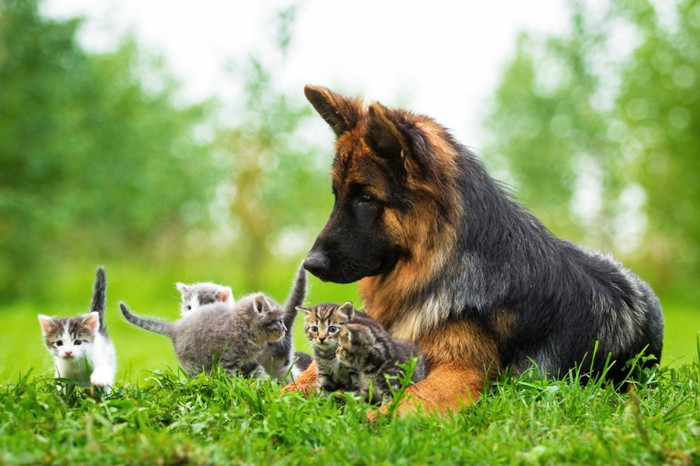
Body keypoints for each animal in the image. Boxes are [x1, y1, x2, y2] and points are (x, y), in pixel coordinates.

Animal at [37, 266, 116, 394]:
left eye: (78, 342)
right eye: (59, 343)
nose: (68, 352)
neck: (76, 363)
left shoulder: (100, 358)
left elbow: (104, 370)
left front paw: (99, 379)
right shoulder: (62, 372)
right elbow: (63, 387)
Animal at [121, 294, 286, 378]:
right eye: (280, 321)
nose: (285, 329)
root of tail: (176, 327)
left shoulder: (248, 361)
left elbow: (259, 373)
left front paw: (268, 388)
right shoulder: (227, 361)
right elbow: (230, 380)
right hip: (193, 363)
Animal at [284, 85, 660, 414]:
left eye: (365, 197)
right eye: (337, 196)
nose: (310, 264)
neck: (436, 270)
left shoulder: (462, 370)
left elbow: (414, 396)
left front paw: (377, 418)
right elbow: (300, 381)